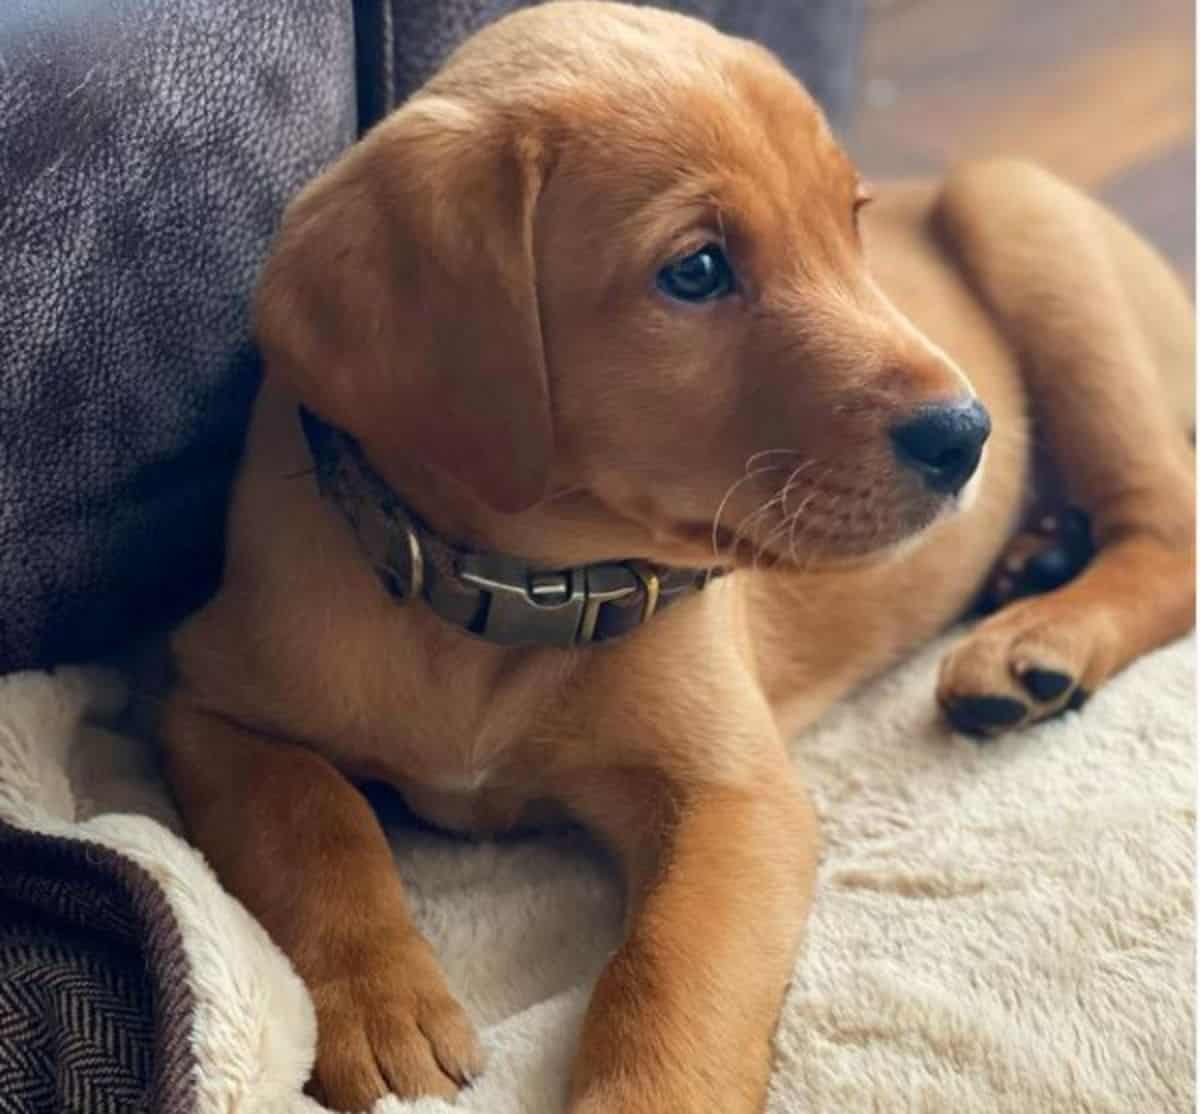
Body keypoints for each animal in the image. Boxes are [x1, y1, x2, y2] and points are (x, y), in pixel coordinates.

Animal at [157, 4, 1190, 1109]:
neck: (507, 588)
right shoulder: (199, 697)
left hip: (1020, 212)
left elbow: (673, 966)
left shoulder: (733, 795)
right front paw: (383, 1008)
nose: (970, 434)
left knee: (1170, 524)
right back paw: (1035, 560)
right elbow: (312, 814)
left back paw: (1036, 640)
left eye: (851, 221)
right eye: (696, 270)